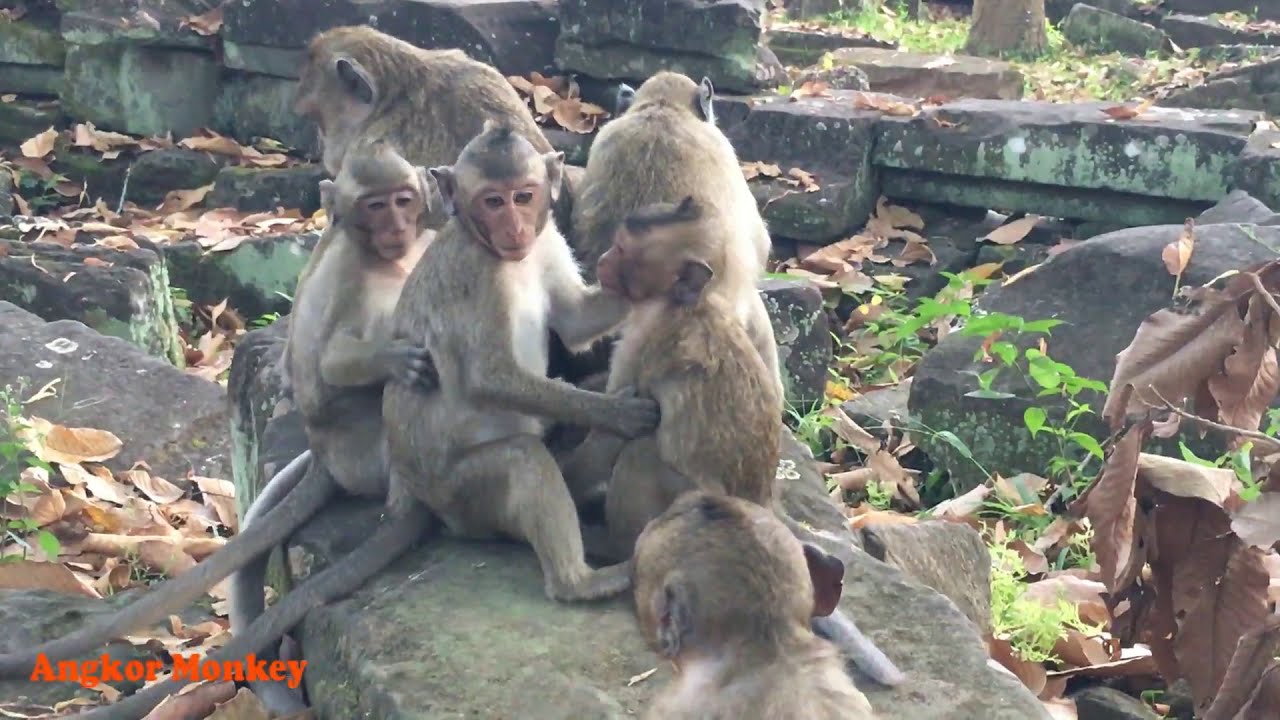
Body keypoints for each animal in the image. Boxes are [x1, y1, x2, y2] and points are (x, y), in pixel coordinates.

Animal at [0, 144, 439, 707]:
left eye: (403, 201)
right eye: (375, 206)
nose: (397, 226)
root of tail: (328, 460)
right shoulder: (352, 275)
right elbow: (330, 367)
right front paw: (390, 359)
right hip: (369, 450)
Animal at [561, 197, 906, 689]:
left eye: (624, 249)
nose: (604, 262)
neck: (685, 303)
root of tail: (761, 502)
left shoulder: (645, 344)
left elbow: (617, 429)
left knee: (642, 452)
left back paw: (614, 545)